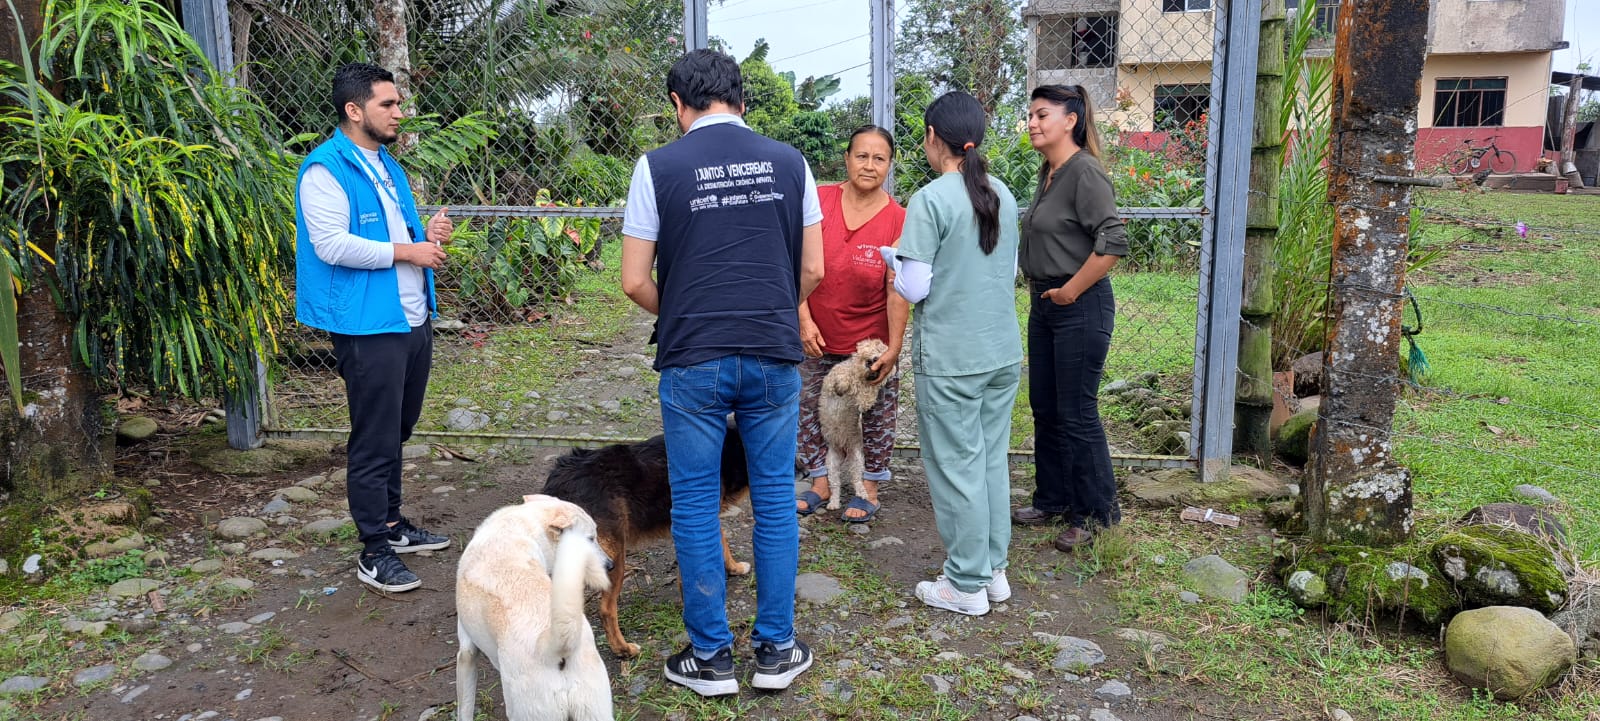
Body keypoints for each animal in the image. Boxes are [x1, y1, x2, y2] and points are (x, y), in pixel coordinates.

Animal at [455, 494, 615, 721]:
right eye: (591, 538)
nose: (611, 565)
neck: (522, 526)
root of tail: (554, 647)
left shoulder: (466, 653)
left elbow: (465, 709)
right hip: (595, 711)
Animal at [819, 338, 889, 511]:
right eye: (879, 349)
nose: (875, 361)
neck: (859, 374)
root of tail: (844, 450)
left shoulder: (865, 395)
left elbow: (867, 395)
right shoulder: (832, 378)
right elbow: (842, 377)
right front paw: (844, 384)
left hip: (857, 459)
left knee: (856, 480)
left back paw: (862, 495)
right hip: (831, 463)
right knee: (835, 485)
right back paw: (833, 503)